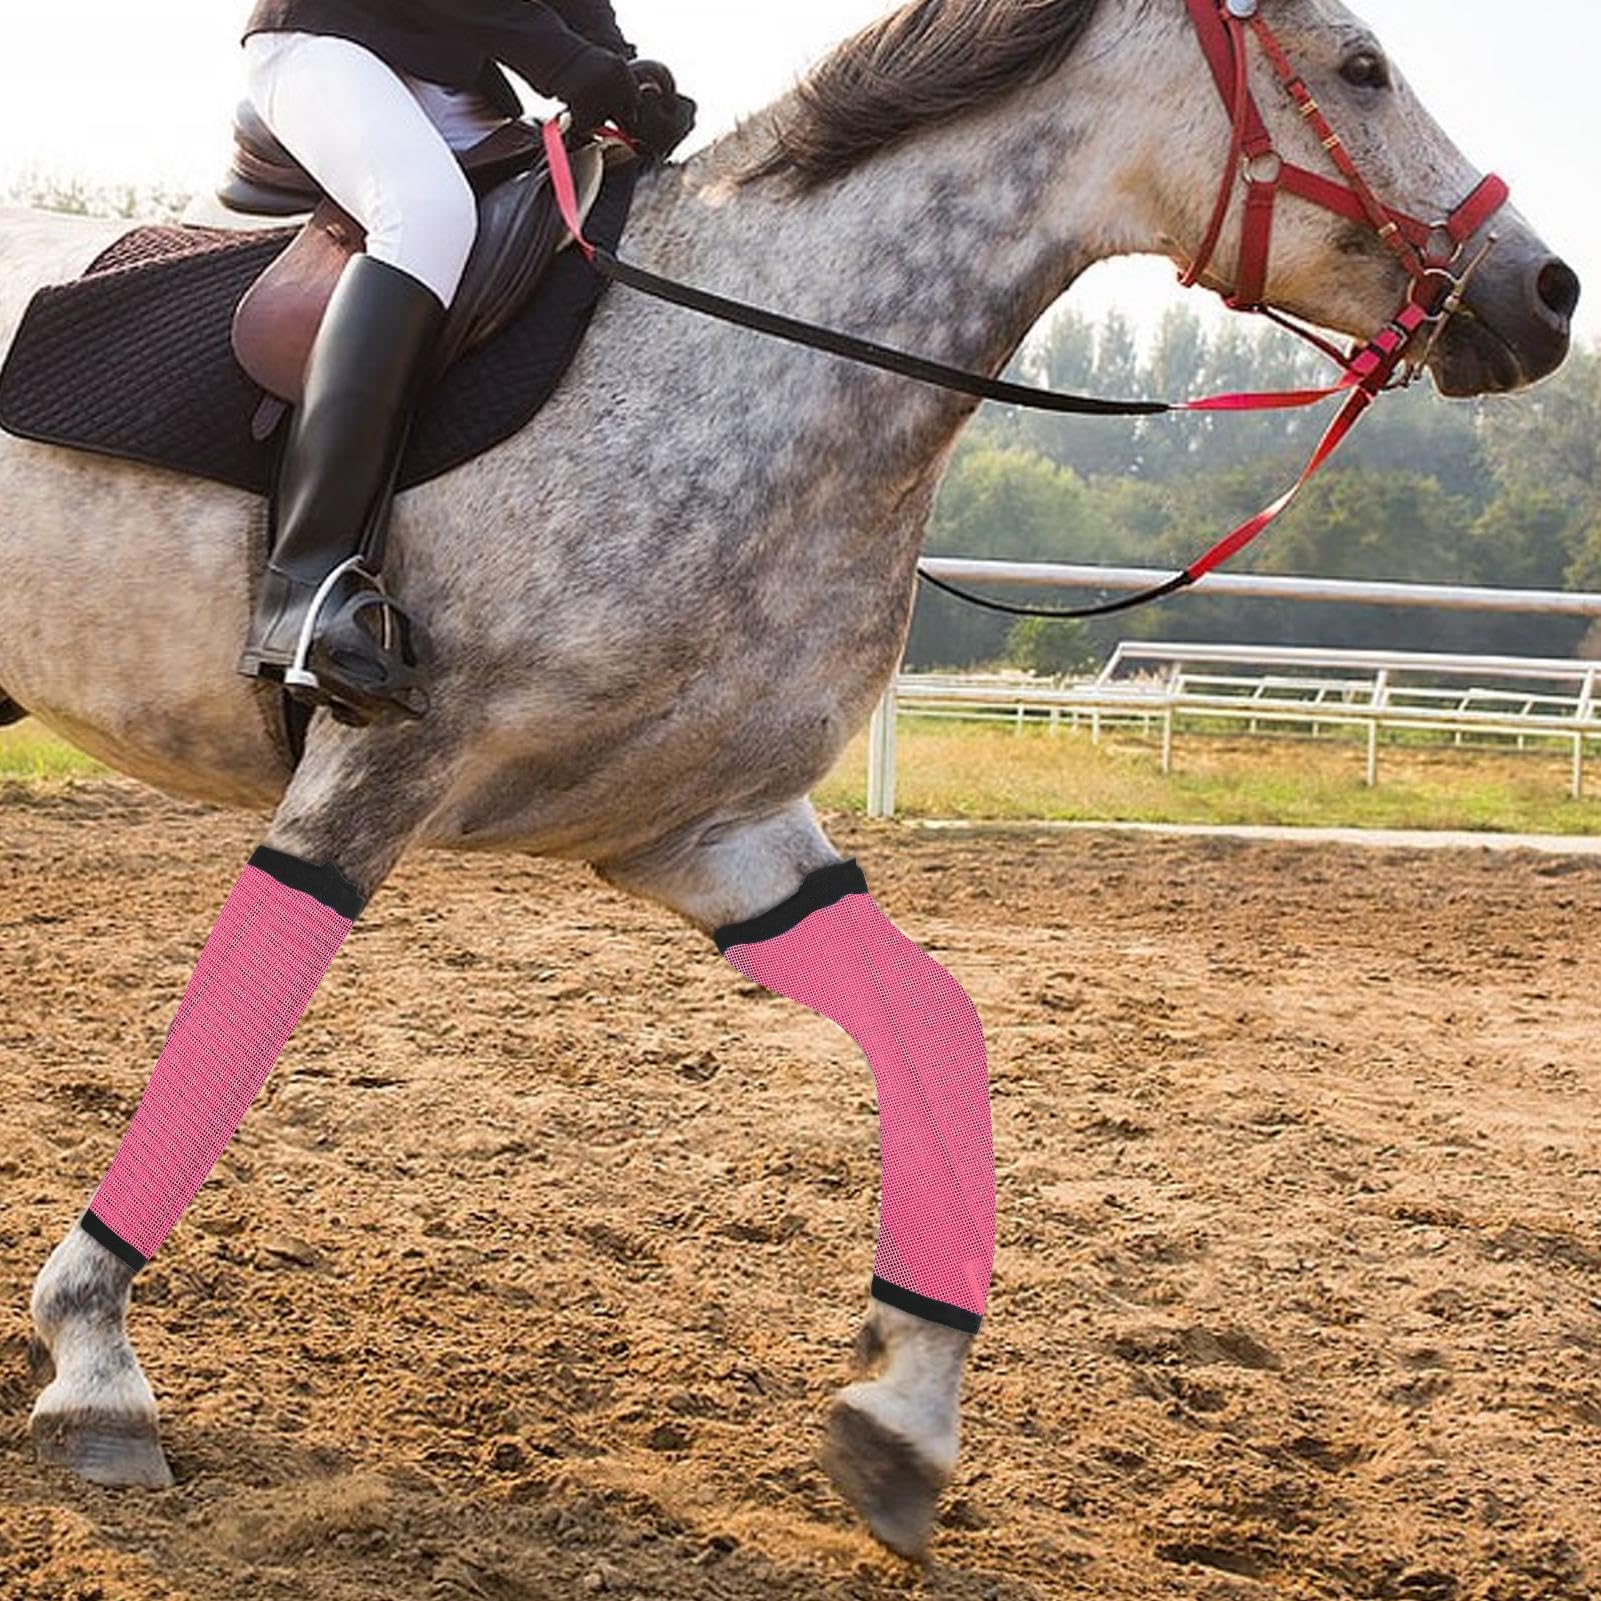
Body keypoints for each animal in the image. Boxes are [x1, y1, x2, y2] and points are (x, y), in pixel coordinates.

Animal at [3, 0, 1577, 1560]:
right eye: (1361, 68)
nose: (1547, 292)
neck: (753, 358)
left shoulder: (714, 833)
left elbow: (938, 1033)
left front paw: (903, 1415)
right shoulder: (373, 778)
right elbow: (229, 1038)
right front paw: (93, 1361)